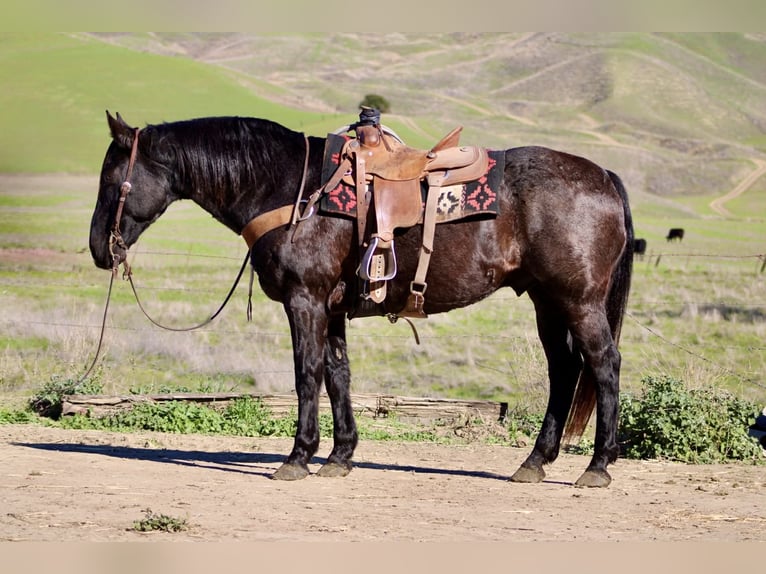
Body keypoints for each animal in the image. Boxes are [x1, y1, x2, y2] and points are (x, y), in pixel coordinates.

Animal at [89, 111, 634, 488]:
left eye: (112, 180)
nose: (99, 248)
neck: (292, 190)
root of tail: (604, 176)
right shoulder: (331, 310)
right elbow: (338, 375)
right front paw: (339, 456)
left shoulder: (305, 302)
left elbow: (307, 374)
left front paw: (298, 457)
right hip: (548, 303)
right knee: (564, 371)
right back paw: (534, 462)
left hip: (579, 302)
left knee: (603, 365)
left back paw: (597, 466)